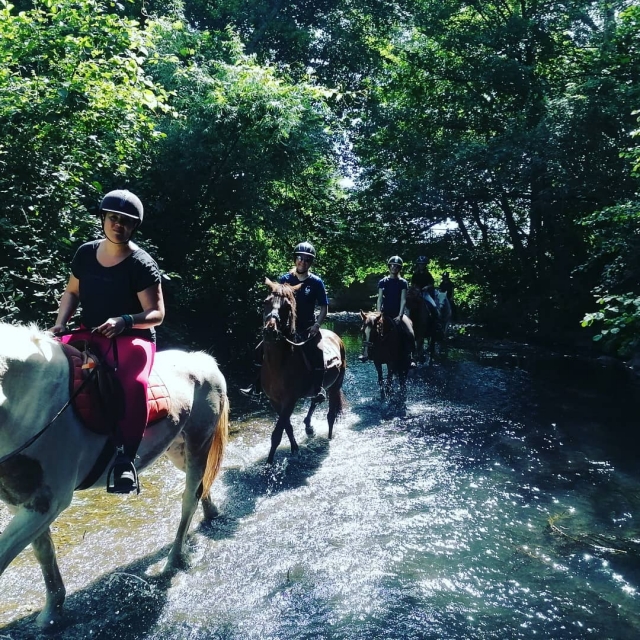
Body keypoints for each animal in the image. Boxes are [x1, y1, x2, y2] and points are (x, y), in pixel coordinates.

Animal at [0, 322, 229, 629]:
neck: (29, 401)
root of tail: (204, 362)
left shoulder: (46, 504)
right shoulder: (22, 501)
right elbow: (44, 553)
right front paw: (52, 614)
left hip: (198, 443)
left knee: (188, 500)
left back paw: (173, 560)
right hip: (177, 450)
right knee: (201, 486)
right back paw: (211, 512)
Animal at [260, 278, 346, 464]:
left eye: (287, 306)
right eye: (266, 302)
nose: (270, 330)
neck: (278, 365)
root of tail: (336, 337)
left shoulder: (289, 400)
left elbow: (277, 433)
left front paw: (269, 463)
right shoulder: (275, 401)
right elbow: (287, 427)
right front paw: (294, 449)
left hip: (335, 386)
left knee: (330, 415)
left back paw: (328, 438)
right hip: (318, 388)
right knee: (315, 400)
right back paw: (309, 427)